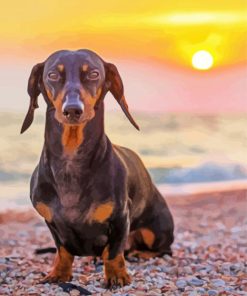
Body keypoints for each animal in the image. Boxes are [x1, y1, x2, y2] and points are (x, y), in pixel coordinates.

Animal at [20, 49, 174, 288]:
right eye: (53, 75)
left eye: (93, 74)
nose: (73, 110)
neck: (71, 161)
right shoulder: (52, 223)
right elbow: (63, 251)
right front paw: (59, 273)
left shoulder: (120, 218)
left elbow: (113, 252)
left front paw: (117, 276)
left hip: (155, 231)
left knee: (163, 250)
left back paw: (141, 254)